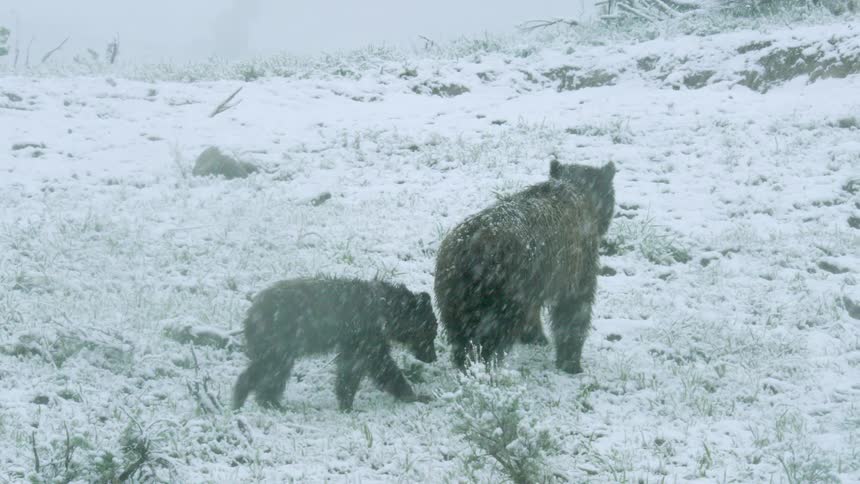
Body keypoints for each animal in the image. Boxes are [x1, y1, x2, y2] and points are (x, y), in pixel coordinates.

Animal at [232, 277, 438, 411]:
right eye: (431, 333)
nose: (432, 357)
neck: (385, 312)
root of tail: (252, 311)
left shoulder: (355, 341)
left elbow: (351, 369)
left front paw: (346, 401)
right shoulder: (366, 337)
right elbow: (379, 365)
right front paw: (416, 395)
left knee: (276, 372)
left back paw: (269, 402)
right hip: (278, 341)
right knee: (269, 367)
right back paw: (244, 398)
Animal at [434, 160, 616, 374]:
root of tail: (471, 250)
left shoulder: (540, 278)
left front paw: (535, 337)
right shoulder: (575, 266)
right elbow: (574, 311)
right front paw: (571, 362)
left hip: (454, 293)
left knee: (460, 335)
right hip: (503, 291)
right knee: (491, 336)